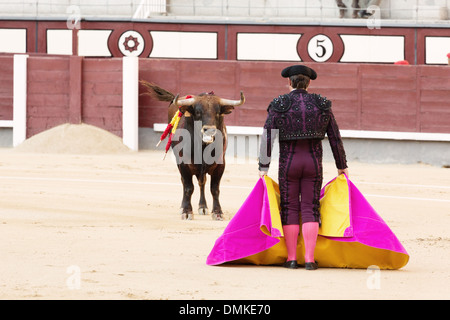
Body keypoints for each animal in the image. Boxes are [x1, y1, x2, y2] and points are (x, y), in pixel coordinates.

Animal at [142, 81, 244, 220]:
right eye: (198, 112)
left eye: (218, 112)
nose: (209, 130)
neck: (202, 147)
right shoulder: (184, 164)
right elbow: (188, 187)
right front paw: (186, 211)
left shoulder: (220, 165)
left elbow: (214, 189)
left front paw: (217, 212)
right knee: (185, 183)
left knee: (202, 183)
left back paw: (203, 207)